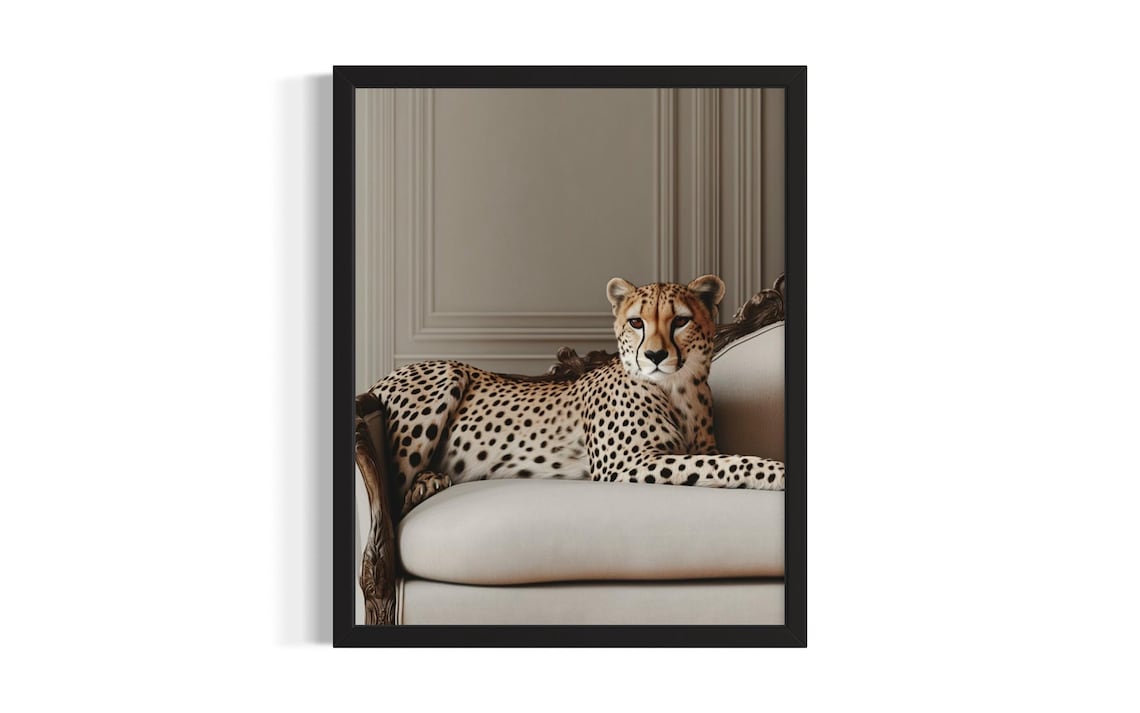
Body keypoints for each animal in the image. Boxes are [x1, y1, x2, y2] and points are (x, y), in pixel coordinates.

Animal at [368, 274, 786, 514]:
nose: (654, 355)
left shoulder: (697, 449)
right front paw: (777, 472)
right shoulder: (626, 463)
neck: (677, 388)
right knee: (396, 492)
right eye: (637, 322)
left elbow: (723, 459)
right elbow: (729, 464)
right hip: (447, 372)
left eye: (681, 320)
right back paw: (425, 483)